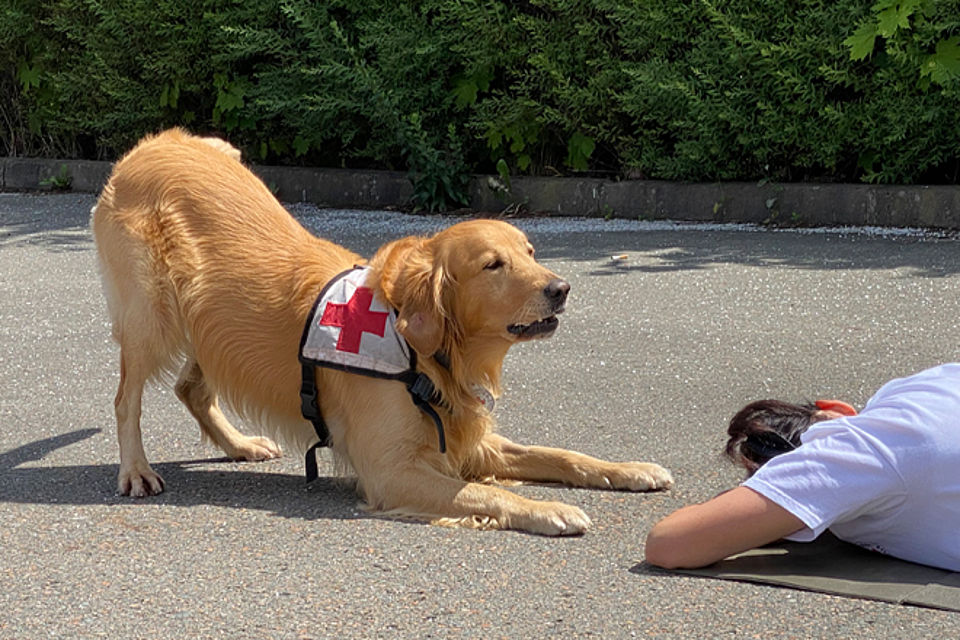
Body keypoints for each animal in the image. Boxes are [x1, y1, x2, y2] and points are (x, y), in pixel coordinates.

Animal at [92, 127, 676, 532]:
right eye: (493, 265)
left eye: (531, 252)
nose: (562, 288)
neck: (421, 350)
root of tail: (156, 143)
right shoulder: (392, 469)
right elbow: (491, 494)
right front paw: (550, 508)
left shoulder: (465, 438)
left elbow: (560, 454)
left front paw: (631, 469)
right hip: (152, 318)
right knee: (126, 398)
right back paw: (136, 470)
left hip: (210, 325)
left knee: (191, 387)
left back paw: (239, 445)